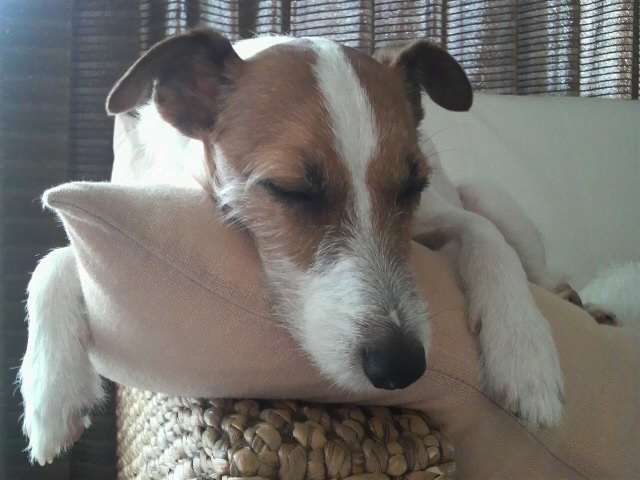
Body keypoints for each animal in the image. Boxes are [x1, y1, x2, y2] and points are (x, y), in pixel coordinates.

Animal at [21, 29, 578, 464]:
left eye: (412, 185)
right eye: (291, 190)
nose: (401, 366)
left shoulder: (443, 212)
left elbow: (489, 240)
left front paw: (525, 351)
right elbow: (53, 258)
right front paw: (51, 387)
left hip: (491, 195)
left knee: (526, 254)